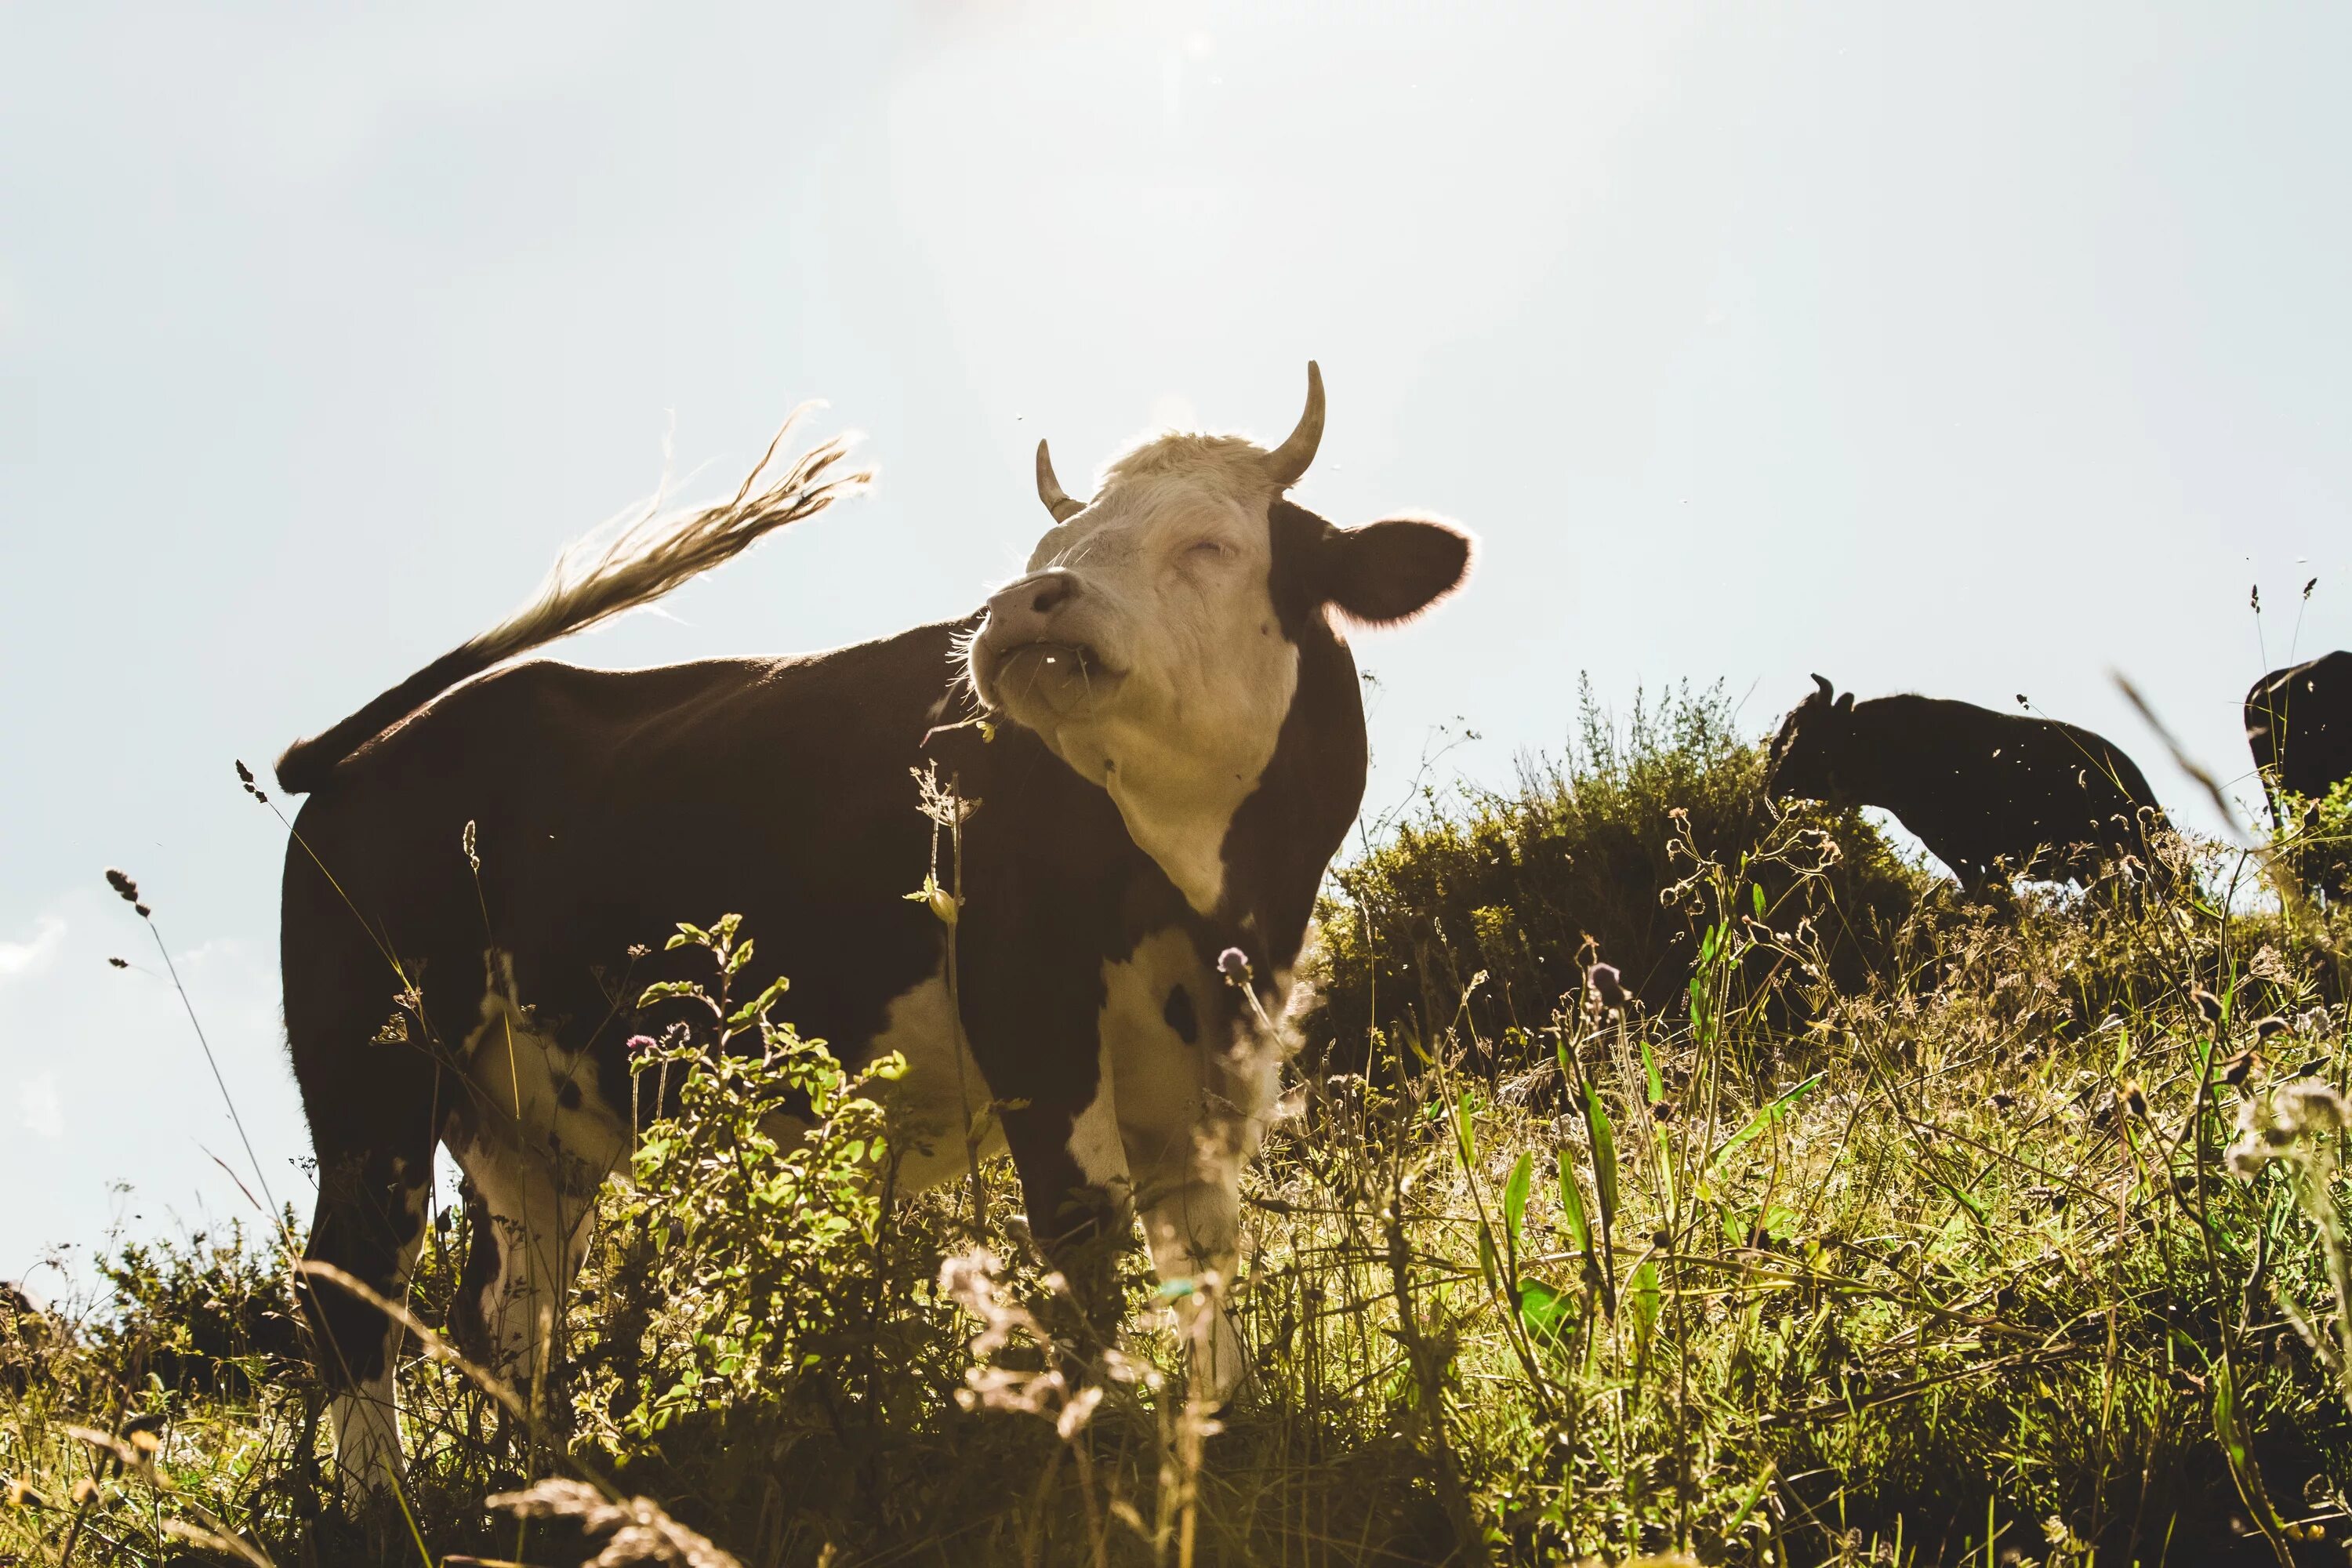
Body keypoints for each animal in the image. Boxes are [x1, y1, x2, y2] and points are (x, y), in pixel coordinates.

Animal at [275, 361, 1468, 1504]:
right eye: (1049, 548)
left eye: (1210, 543)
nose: (1024, 604)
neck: (1210, 894)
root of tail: (366, 750)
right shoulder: (1026, 999)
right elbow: (1085, 1226)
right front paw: (1103, 1437)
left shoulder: (1222, 1041)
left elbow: (1204, 1243)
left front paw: (1216, 1426)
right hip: (374, 1070)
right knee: (353, 1283)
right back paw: (382, 1503)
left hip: (523, 1123)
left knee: (508, 1312)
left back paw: (545, 1473)